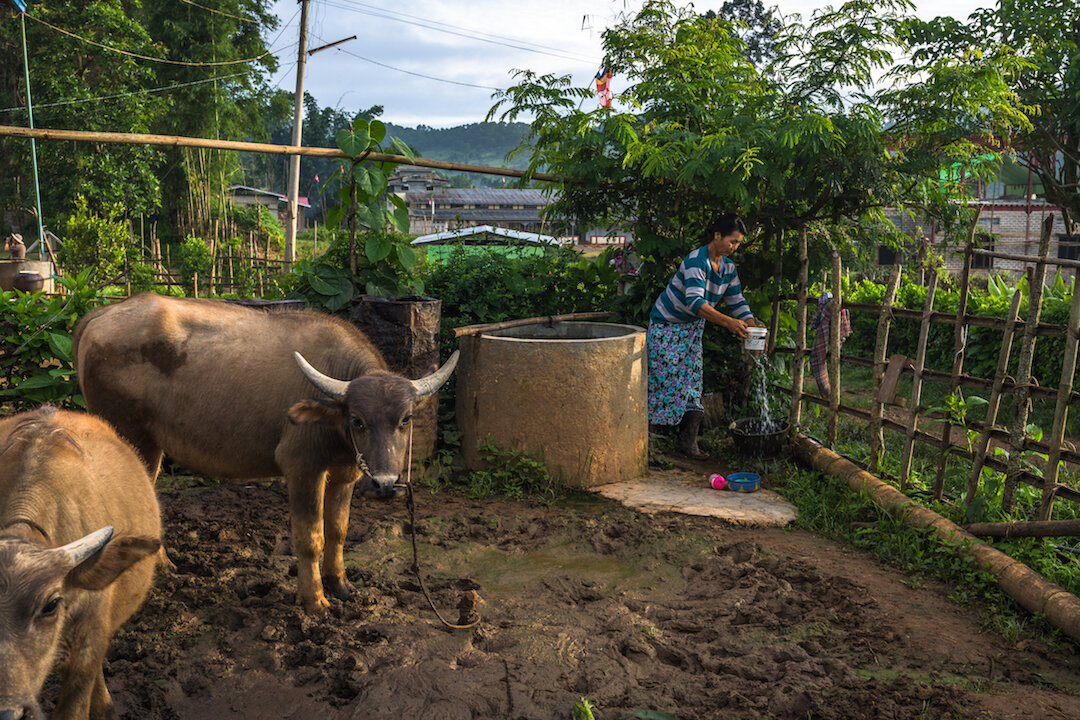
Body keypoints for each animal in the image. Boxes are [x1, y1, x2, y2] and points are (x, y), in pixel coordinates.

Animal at [73, 293, 457, 613]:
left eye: (405, 419)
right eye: (358, 420)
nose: (385, 484)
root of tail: (99, 317)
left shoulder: (346, 474)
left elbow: (338, 530)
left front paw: (340, 585)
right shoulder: (303, 469)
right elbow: (310, 537)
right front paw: (315, 600)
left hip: (151, 444)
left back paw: (164, 566)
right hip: (124, 432)